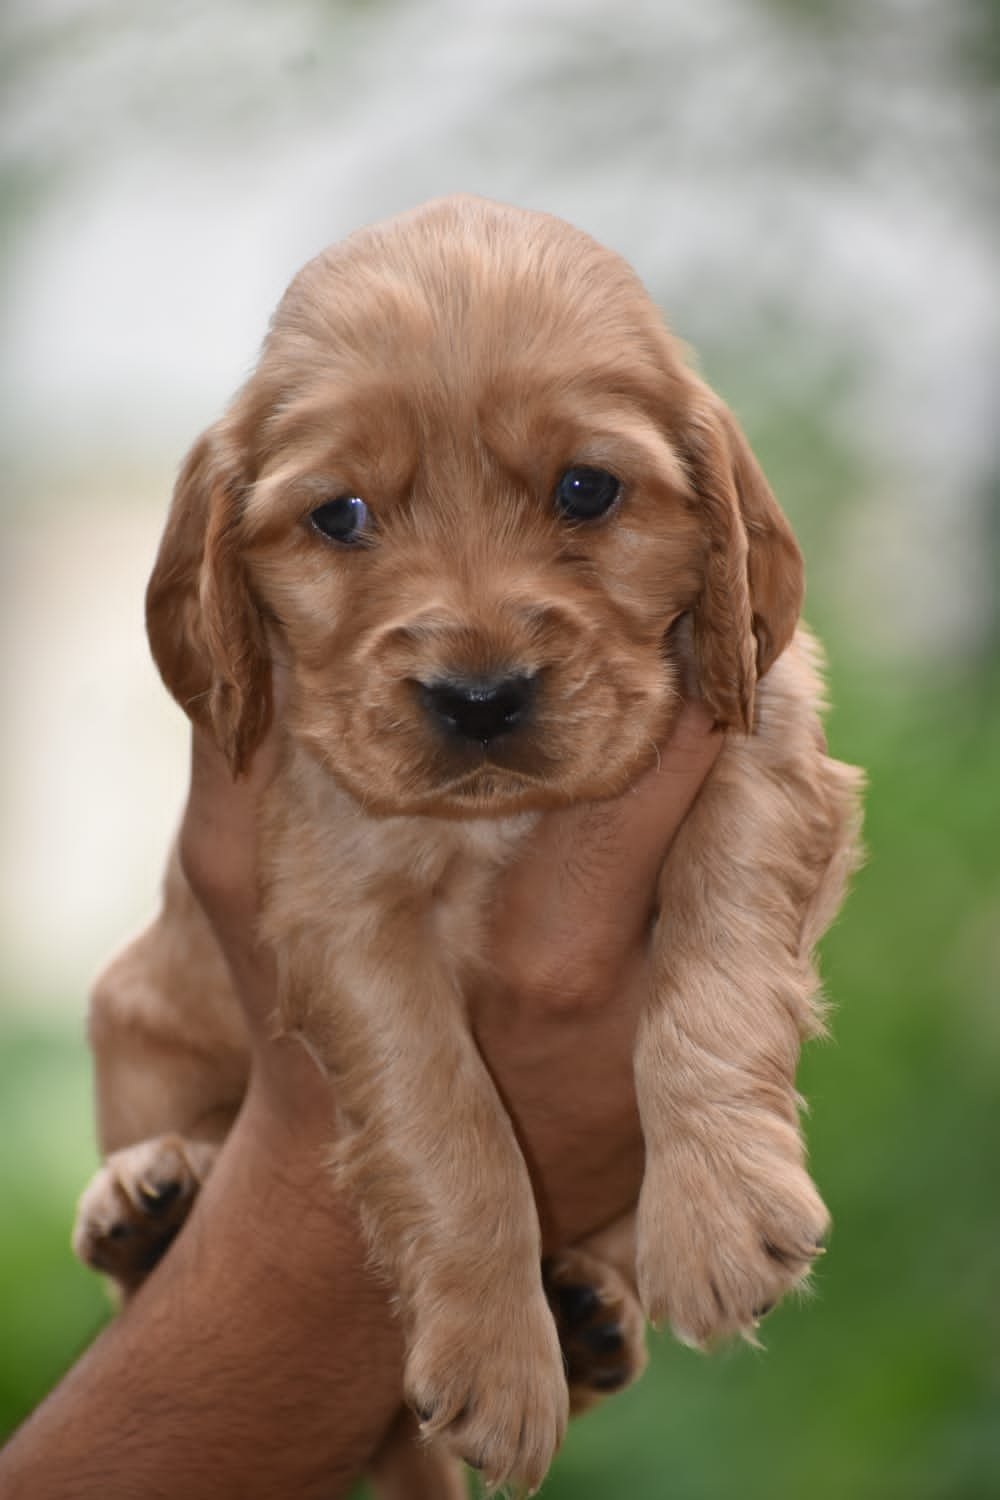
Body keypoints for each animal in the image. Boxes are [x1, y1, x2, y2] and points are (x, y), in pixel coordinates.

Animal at [74, 196, 863, 1488]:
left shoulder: (766, 745)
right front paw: (498, 1360)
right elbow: (447, 1121)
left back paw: (589, 1312)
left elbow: (715, 968)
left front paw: (718, 1214)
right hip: (131, 1017)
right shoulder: (336, 899)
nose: (481, 698)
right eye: (339, 515)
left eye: (587, 489)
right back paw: (148, 1202)